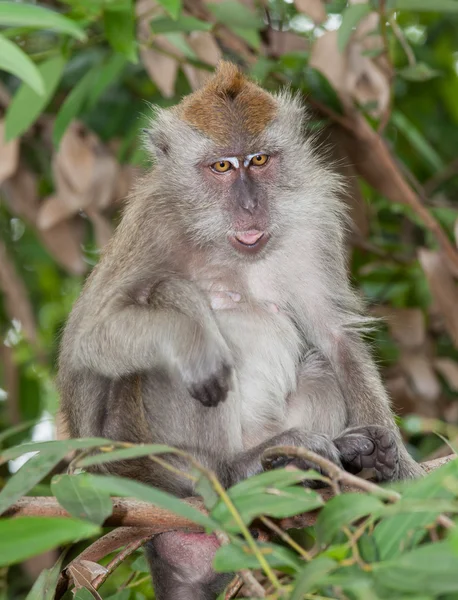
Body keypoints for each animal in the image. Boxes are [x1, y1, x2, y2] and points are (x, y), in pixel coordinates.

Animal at [57, 62, 422, 600]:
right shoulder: (153, 222)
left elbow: (335, 337)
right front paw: (194, 348)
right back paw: (234, 470)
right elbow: (86, 341)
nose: (250, 205)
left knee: (318, 365)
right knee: (174, 311)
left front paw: (399, 468)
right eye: (222, 167)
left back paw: (329, 459)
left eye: (260, 159)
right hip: (141, 452)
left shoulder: (314, 221)